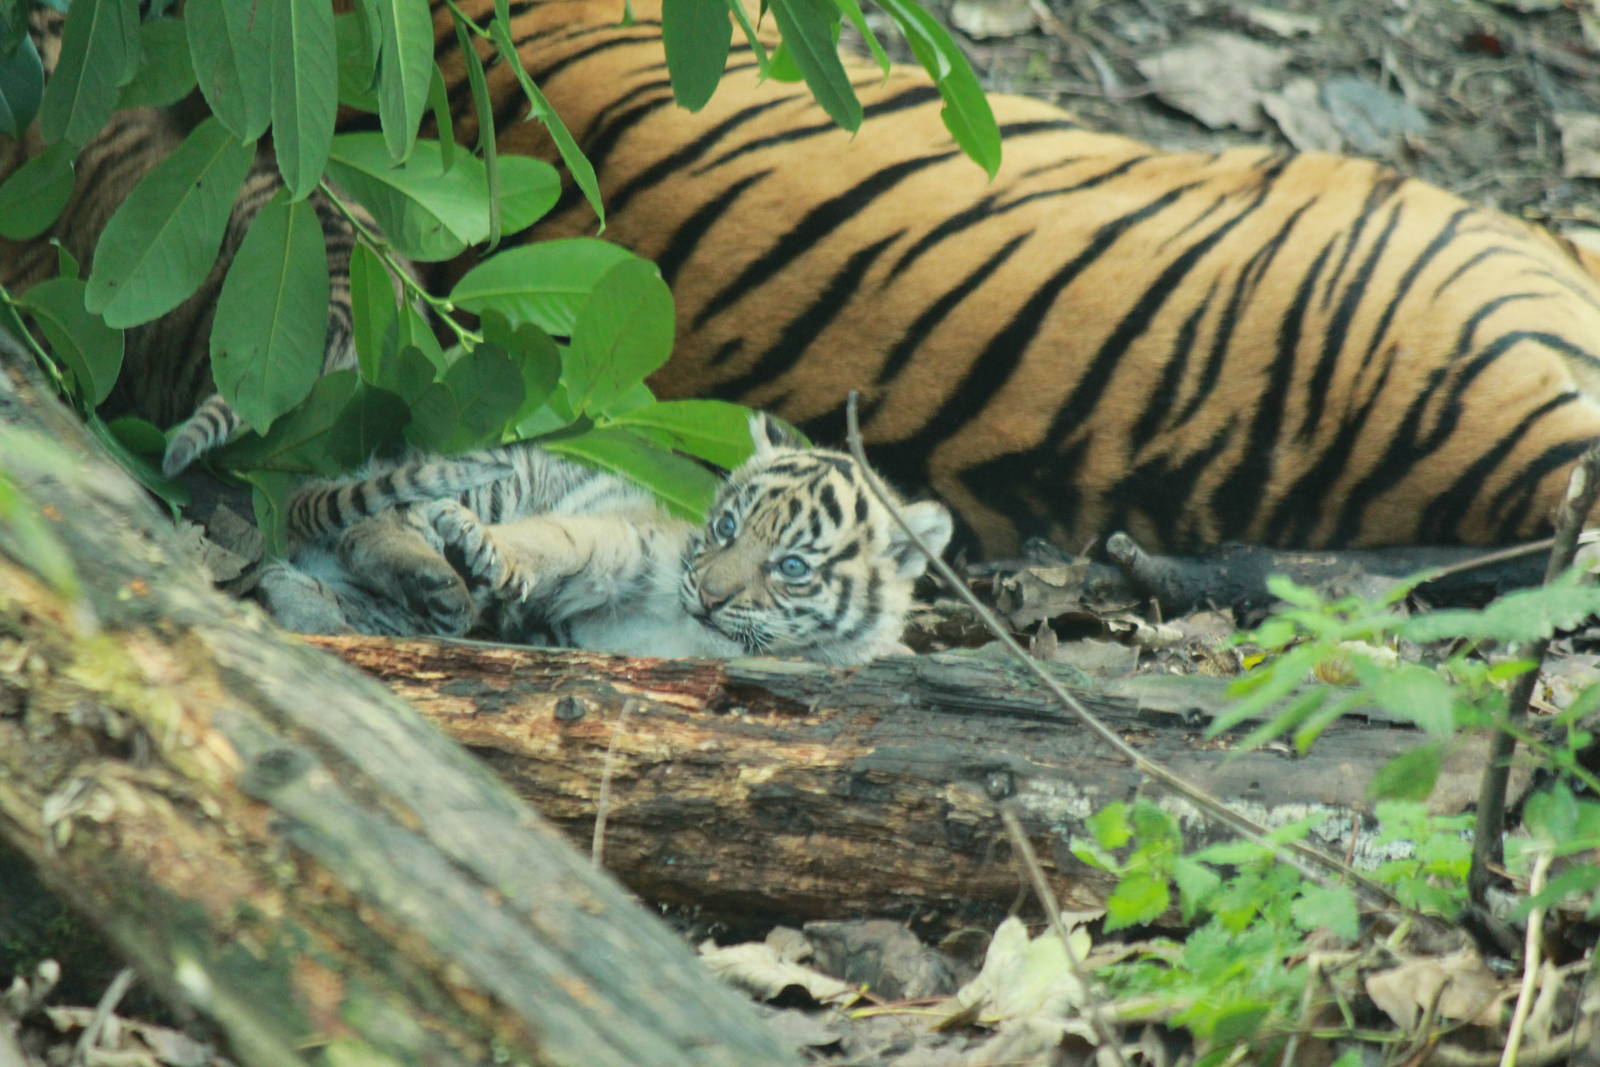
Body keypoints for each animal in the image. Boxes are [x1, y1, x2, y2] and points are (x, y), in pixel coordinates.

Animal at [257, 413, 954, 664]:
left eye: (792, 568)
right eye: (727, 527)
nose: (709, 597)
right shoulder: (634, 540)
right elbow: (561, 539)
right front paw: (492, 550)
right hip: (492, 480)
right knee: (373, 522)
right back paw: (438, 576)